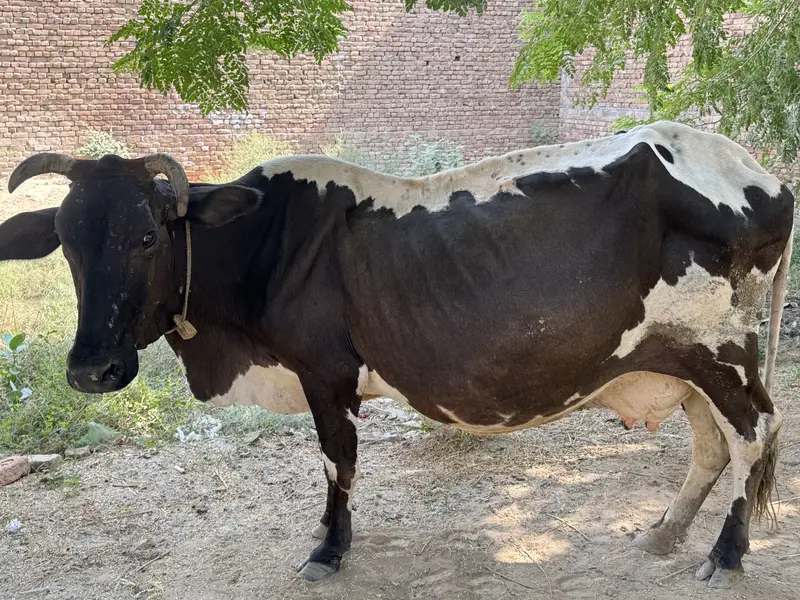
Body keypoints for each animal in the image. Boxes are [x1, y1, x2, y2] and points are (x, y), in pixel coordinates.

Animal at [0, 121, 793, 588]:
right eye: (65, 241)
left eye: (148, 236)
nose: (91, 369)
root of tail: (762, 174)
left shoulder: (326, 370)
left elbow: (337, 463)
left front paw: (329, 549)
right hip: (675, 359)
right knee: (712, 444)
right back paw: (666, 533)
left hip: (722, 350)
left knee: (754, 432)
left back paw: (724, 556)